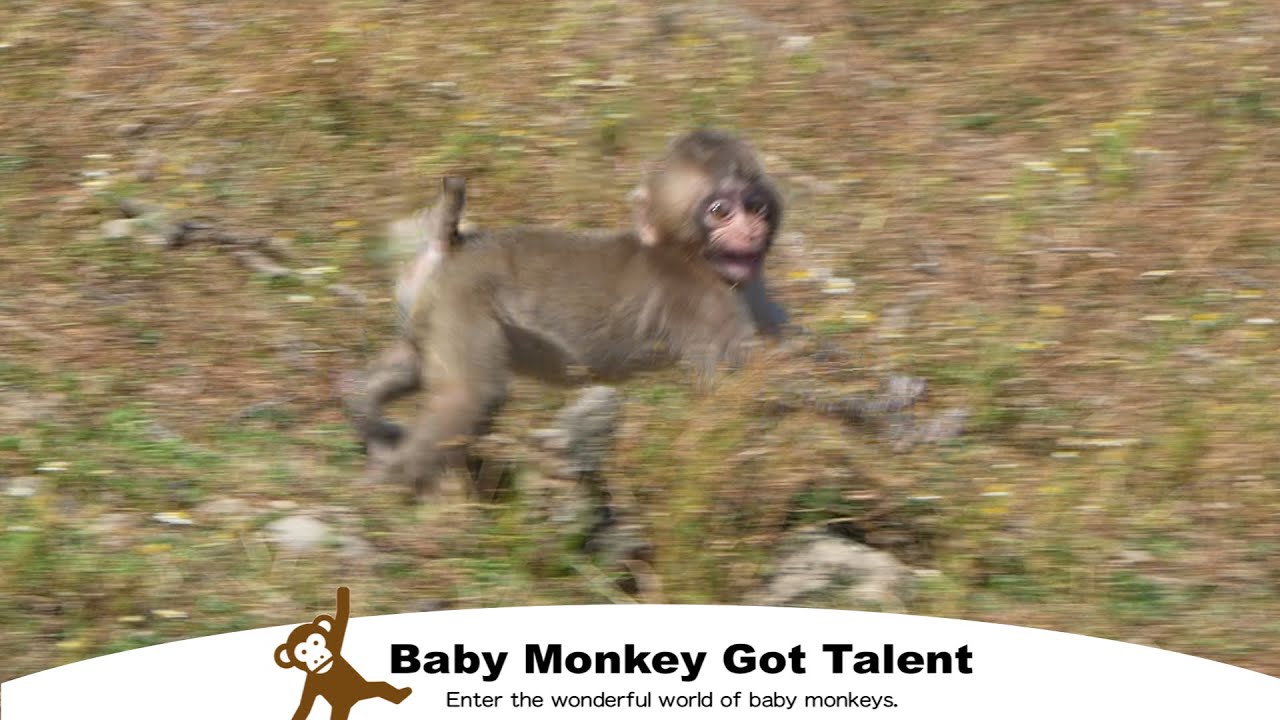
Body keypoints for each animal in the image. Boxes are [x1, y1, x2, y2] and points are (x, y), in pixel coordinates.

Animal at [275, 586, 412, 720]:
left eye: (316, 642)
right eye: (303, 652)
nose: (318, 656)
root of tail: (354, 701)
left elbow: (342, 617)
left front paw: (342, 592)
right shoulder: (311, 683)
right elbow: (305, 705)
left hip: (366, 689)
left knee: (382, 686)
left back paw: (403, 694)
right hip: (341, 706)